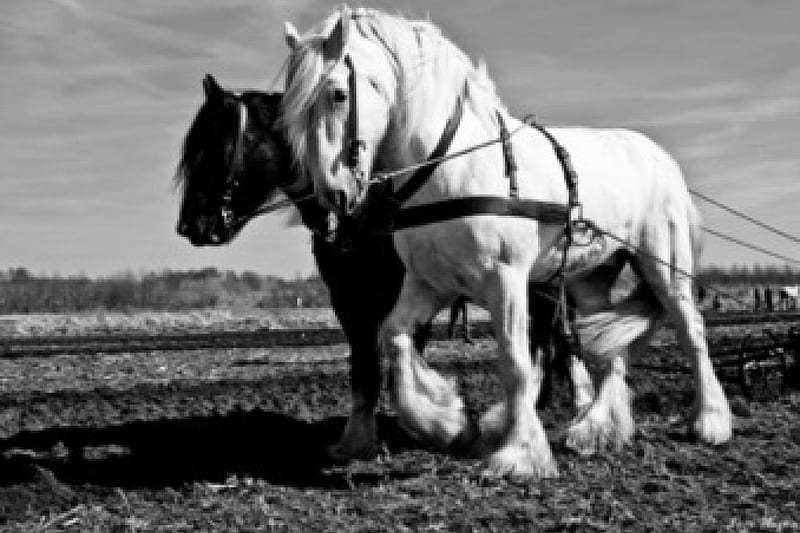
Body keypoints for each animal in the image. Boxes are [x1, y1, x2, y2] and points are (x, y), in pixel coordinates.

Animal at [175, 76, 576, 462]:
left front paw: (439, 423)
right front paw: (357, 441)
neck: (366, 212)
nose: (189, 226)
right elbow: (365, 369)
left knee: (546, 341)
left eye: (217, 149)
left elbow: (406, 358)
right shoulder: (348, 300)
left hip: (540, 286)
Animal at [280, 7, 732, 474]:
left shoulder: (505, 280)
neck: (451, 169)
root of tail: (661, 158)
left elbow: (514, 363)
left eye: (337, 94)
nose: (331, 197)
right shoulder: (432, 283)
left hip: (664, 267)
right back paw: (595, 429)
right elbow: (394, 337)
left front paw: (519, 454)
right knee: (605, 351)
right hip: (590, 277)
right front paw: (446, 423)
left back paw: (709, 422)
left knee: (692, 331)